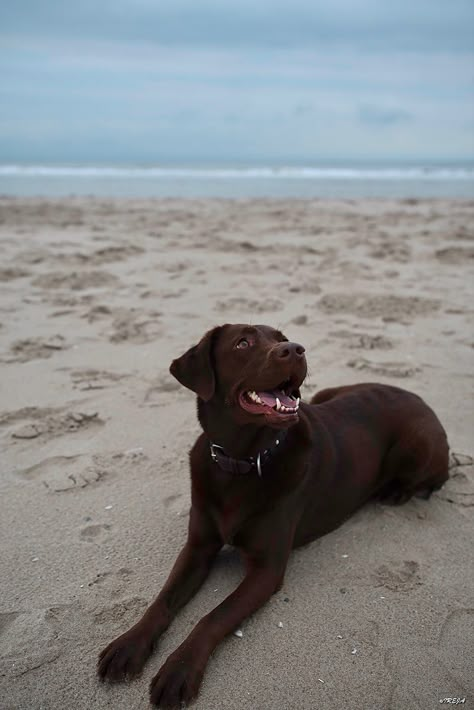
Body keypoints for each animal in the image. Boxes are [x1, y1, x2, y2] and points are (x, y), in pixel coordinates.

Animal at [98, 326, 450, 708]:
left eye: (282, 337)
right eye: (243, 343)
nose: (295, 349)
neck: (239, 461)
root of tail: (422, 400)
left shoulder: (266, 570)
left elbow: (213, 616)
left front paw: (179, 669)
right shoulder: (197, 547)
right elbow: (162, 599)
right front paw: (128, 645)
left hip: (419, 443)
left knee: (435, 477)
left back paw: (396, 492)